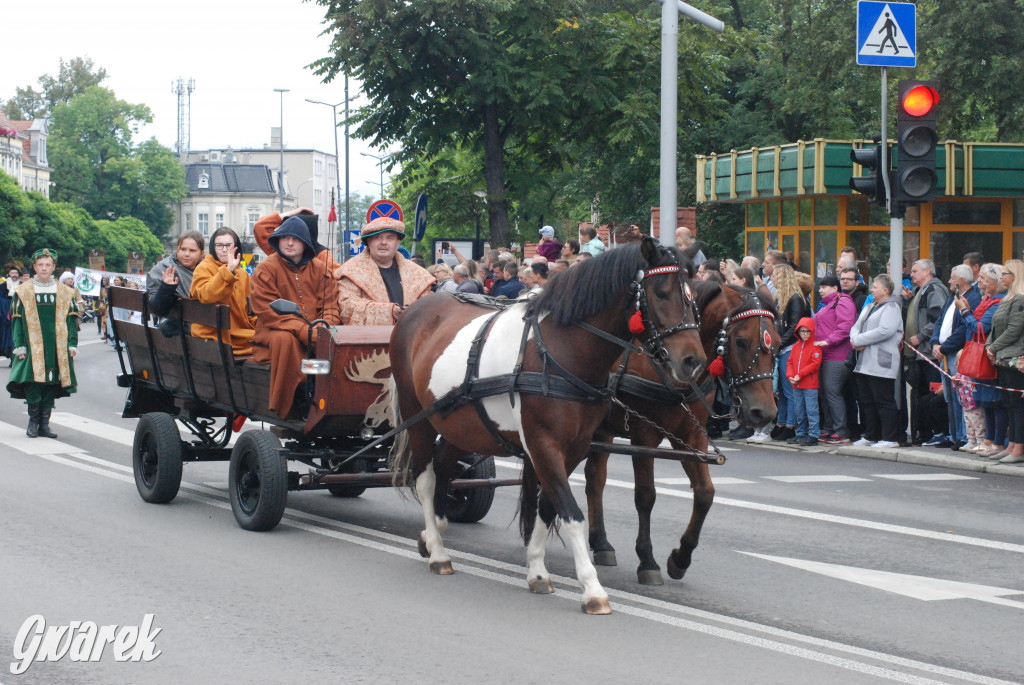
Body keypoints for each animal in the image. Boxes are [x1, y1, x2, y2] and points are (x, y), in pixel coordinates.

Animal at [387, 237, 708, 610]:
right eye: (661, 292)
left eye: (693, 297)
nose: (694, 362)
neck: (561, 350)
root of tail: (415, 309)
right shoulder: (543, 445)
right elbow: (571, 514)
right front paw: (592, 588)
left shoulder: (574, 448)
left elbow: (548, 505)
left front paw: (538, 570)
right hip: (418, 418)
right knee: (425, 479)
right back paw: (438, 553)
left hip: (460, 424)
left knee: (443, 467)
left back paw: (433, 530)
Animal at [581, 280, 778, 585]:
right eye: (741, 342)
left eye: (778, 343)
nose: (764, 413)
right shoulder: (644, 437)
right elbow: (646, 496)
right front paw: (647, 560)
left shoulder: (691, 437)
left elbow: (705, 493)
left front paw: (680, 558)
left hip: (601, 431)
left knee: (594, 478)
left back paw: (601, 543)